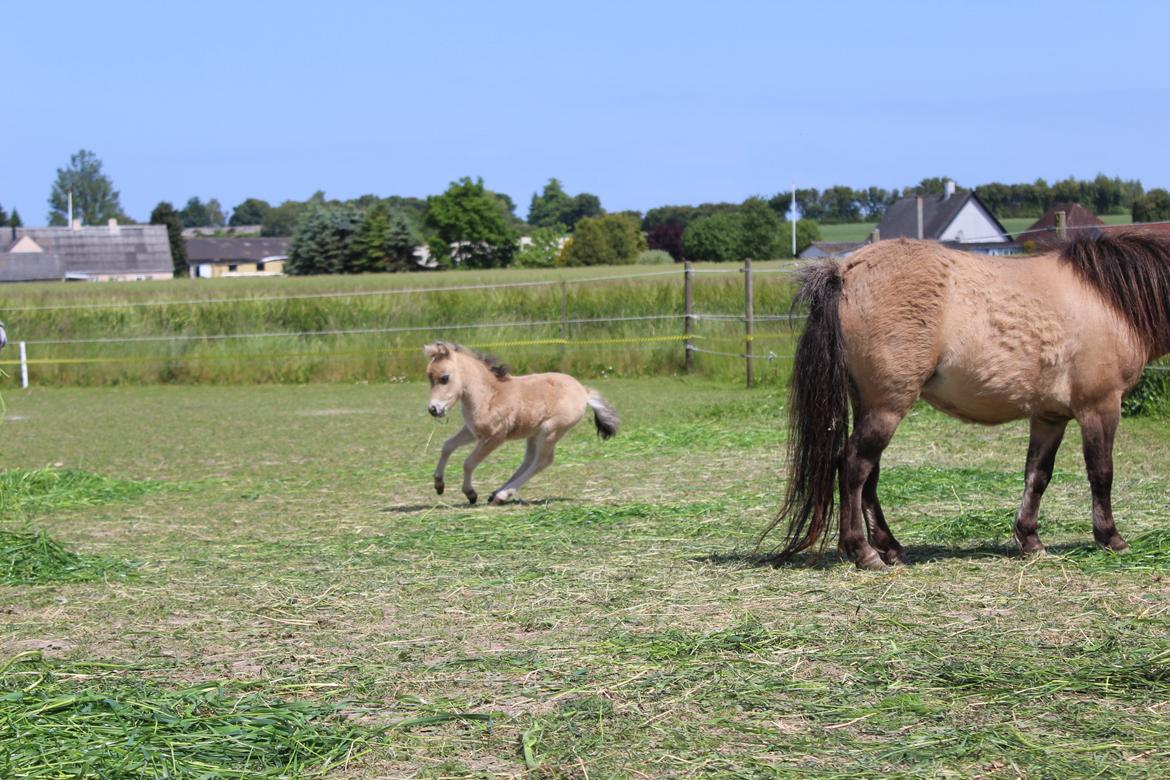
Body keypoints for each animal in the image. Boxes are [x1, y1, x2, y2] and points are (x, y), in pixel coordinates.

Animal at [423, 343, 622, 507]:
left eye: (444, 377)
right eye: (429, 377)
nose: (434, 409)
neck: (489, 394)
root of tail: (584, 391)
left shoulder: (494, 437)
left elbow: (468, 463)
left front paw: (470, 493)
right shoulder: (473, 432)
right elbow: (447, 446)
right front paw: (439, 484)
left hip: (551, 431)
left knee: (542, 461)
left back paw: (501, 495)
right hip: (534, 434)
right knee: (529, 460)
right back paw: (498, 492)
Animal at [762, 235, 1170, 570]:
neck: (1108, 302)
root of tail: (847, 270)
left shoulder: (1049, 416)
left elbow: (1037, 475)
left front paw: (1030, 540)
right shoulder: (1099, 407)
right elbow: (1101, 473)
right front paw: (1111, 538)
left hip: (868, 404)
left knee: (867, 474)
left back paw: (889, 547)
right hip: (887, 406)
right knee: (854, 466)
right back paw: (863, 552)